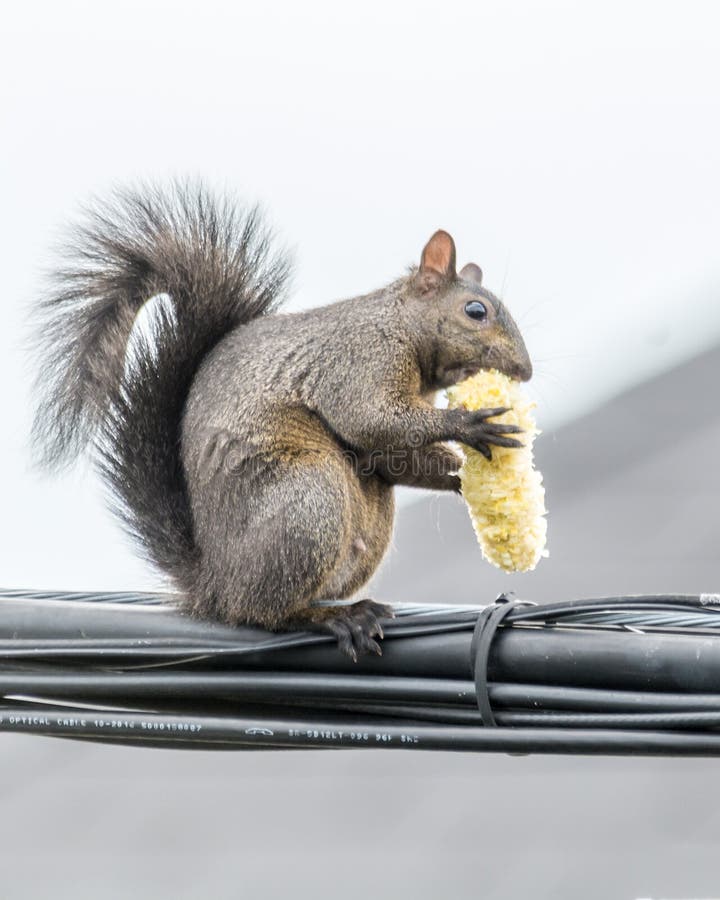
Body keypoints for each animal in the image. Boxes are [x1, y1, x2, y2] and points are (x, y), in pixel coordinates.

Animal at [31, 182, 532, 660]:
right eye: (476, 311)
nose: (524, 371)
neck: (398, 323)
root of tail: (215, 585)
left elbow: (392, 455)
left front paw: (470, 478)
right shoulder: (359, 360)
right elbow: (371, 418)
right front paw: (469, 425)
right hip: (308, 501)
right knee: (262, 611)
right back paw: (333, 617)